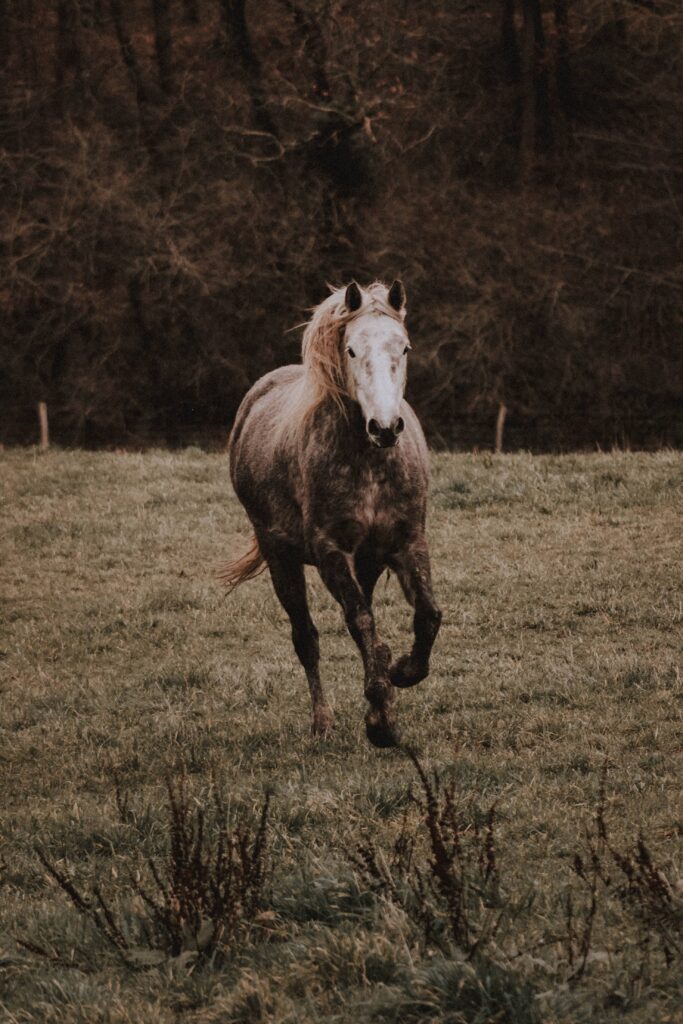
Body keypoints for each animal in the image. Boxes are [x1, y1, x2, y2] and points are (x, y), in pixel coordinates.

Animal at [222, 278, 440, 745]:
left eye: (405, 347)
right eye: (352, 350)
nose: (385, 427)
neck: (369, 462)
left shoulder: (407, 542)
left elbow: (427, 615)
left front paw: (401, 673)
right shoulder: (330, 552)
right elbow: (359, 621)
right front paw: (380, 719)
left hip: (368, 563)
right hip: (281, 557)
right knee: (307, 638)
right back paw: (322, 722)